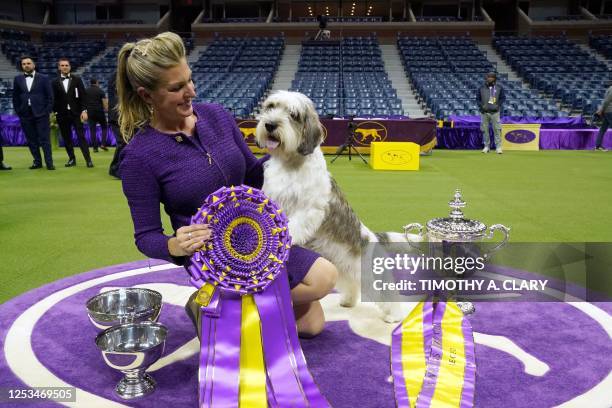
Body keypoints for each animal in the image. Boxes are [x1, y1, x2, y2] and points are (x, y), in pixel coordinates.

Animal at [255, 91, 406, 322]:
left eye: (293, 114)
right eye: (271, 106)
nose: (270, 125)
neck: (290, 164)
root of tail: (373, 236)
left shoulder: (309, 209)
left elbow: (293, 226)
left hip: (368, 272)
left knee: (387, 292)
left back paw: (394, 316)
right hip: (342, 265)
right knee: (352, 284)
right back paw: (348, 301)